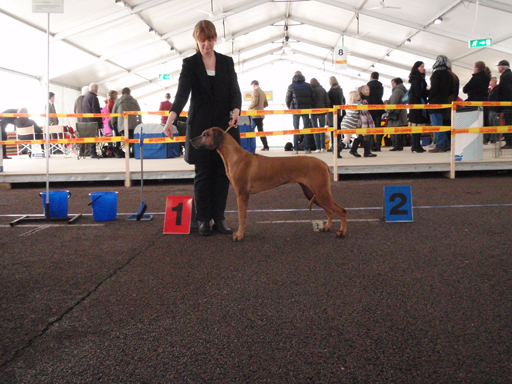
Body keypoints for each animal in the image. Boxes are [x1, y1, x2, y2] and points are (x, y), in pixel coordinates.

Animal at [192, 127, 348, 240]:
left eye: (205, 134)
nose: (191, 140)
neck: (235, 156)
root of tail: (324, 164)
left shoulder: (242, 195)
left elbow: (241, 217)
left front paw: (239, 235)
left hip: (321, 192)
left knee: (342, 210)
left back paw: (342, 232)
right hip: (312, 193)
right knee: (330, 211)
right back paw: (326, 227)